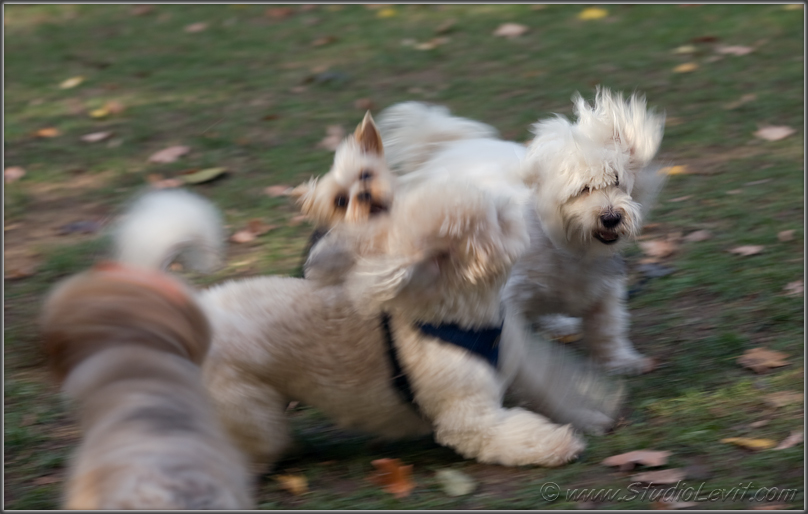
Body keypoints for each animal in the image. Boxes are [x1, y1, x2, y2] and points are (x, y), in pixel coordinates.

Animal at [376, 86, 664, 370]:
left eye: (617, 181)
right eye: (583, 189)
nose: (611, 217)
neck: (566, 247)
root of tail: (440, 148)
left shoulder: (603, 289)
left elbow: (608, 327)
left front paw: (622, 360)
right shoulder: (509, 297)